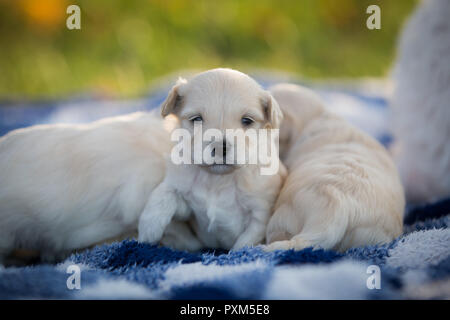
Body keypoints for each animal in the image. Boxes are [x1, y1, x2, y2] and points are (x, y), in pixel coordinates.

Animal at [138, 69, 284, 251]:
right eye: (197, 119)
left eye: (247, 120)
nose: (220, 147)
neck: (217, 179)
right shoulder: (182, 193)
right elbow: (163, 193)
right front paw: (147, 231)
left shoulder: (260, 214)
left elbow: (244, 243)